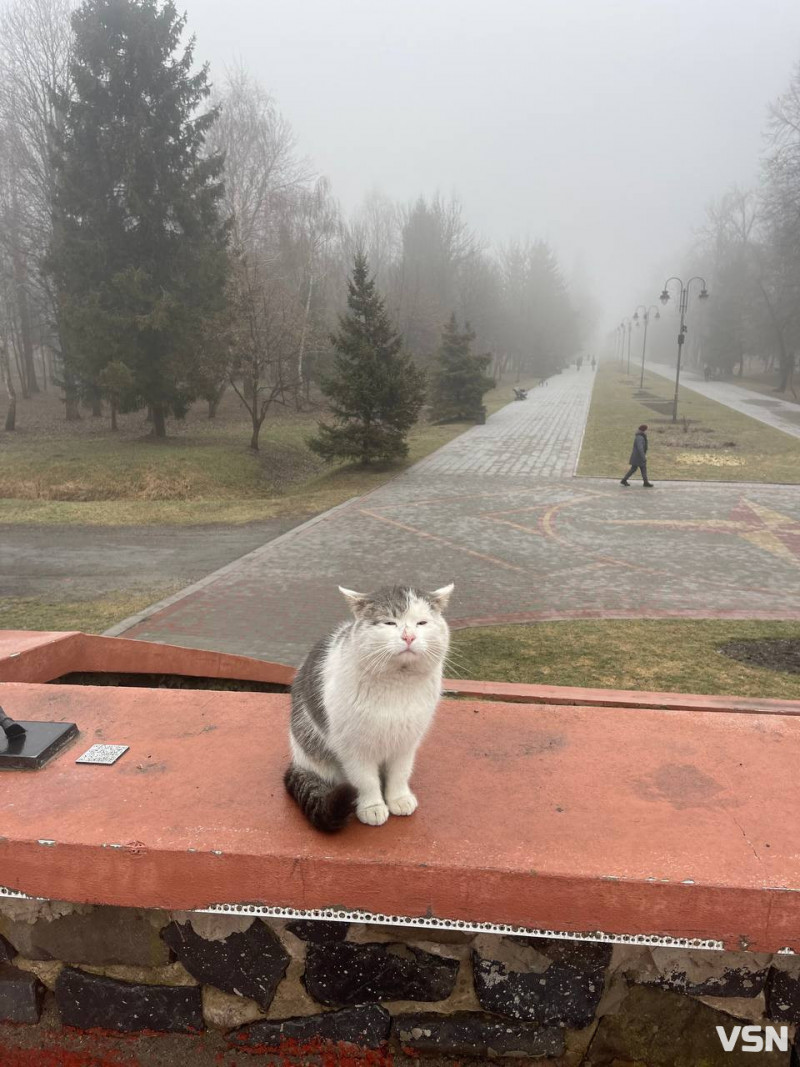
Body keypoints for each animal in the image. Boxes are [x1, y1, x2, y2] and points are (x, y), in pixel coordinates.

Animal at [285, 584, 454, 832]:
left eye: (421, 623)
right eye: (389, 623)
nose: (409, 636)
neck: (396, 685)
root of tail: (297, 761)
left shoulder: (406, 743)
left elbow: (400, 774)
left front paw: (399, 799)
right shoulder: (354, 748)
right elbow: (365, 781)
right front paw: (372, 807)